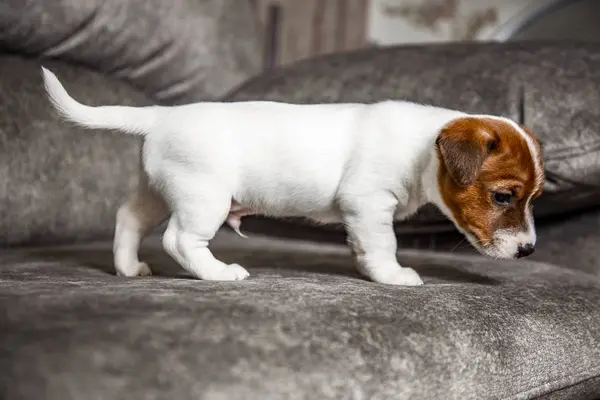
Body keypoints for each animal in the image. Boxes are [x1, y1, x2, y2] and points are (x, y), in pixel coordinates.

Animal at [42, 67, 548, 284]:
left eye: (531, 199)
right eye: (504, 197)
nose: (528, 251)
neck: (423, 147)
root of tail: (161, 117)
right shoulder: (369, 203)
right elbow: (383, 244)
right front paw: (392, 275)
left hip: (159, 190)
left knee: (128, 217)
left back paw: (127, 268)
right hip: (204, 196)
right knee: (179, 240)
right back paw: (219, 273)